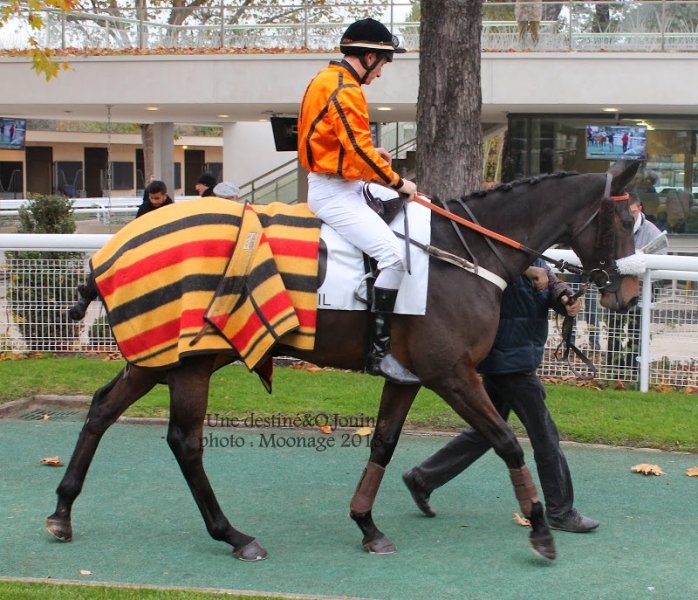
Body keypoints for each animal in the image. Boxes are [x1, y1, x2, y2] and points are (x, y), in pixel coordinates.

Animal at [47, 160, 642, 563]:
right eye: (627, 220)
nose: (629, 294)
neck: (462, 253)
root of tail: (110, 251)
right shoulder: (451, 373)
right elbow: (507, 441)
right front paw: (540, 528)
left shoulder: (409, 376)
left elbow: (382, 444)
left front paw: (367, 524)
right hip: (191, 361)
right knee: (184, 443)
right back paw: (233, 534)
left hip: (160, 356)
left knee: (101, 410)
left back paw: (62, 512)